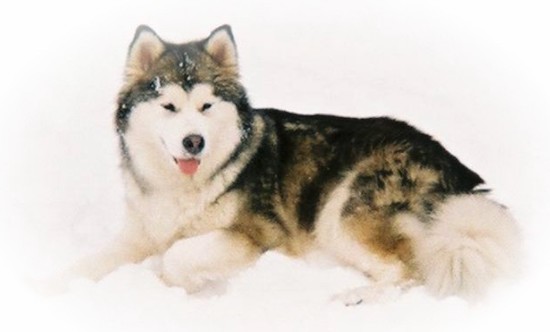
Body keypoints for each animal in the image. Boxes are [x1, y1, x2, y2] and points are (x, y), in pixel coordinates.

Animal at [66, 24, 520, 304]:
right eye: (169, 107)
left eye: (206, 106)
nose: (194, 142)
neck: (183, 187)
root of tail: (462, 176)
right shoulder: (139, 232)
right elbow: (88, 264)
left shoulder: (258, 233)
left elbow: (176, 255)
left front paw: (181, 281)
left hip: (340, 209)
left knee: (409, 271)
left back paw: (355, 297)